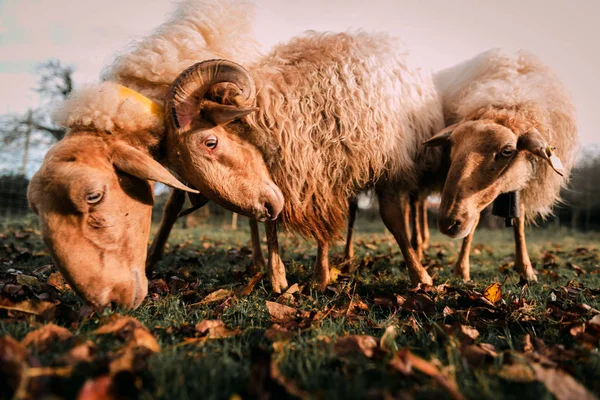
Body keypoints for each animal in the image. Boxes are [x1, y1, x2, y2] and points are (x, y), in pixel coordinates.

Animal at [164, 31, 446, 290]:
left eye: (210, 142)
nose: (265, 208)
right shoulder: (302, 174)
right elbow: (286, 225)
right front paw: (289, 277)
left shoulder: (379, 164)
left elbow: (392, 219)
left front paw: (420, 276)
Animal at [424, 49, 580, 282]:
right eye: (452, 144)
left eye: (507, 151)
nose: (447, 223)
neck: (509, 98)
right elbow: (474, 221)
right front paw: (461, 269)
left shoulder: (522, 178)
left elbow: (519, 220)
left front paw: (526, 269)